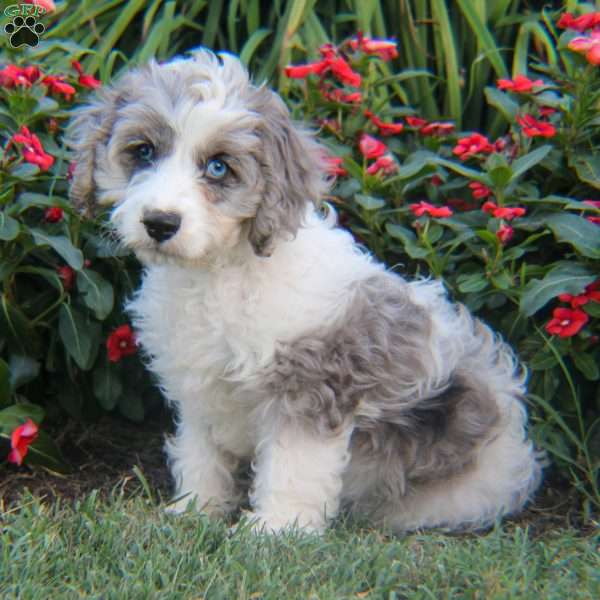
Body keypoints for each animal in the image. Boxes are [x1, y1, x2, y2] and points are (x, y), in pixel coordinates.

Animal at [68, 49, 540, 532]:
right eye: (143, 151)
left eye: (218, 166)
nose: (160, 223)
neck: (217, 272)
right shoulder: (199, 385)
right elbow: (202, 454)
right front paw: (195, 509)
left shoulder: (310, 383)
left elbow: (292, 465)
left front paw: (276, 528)